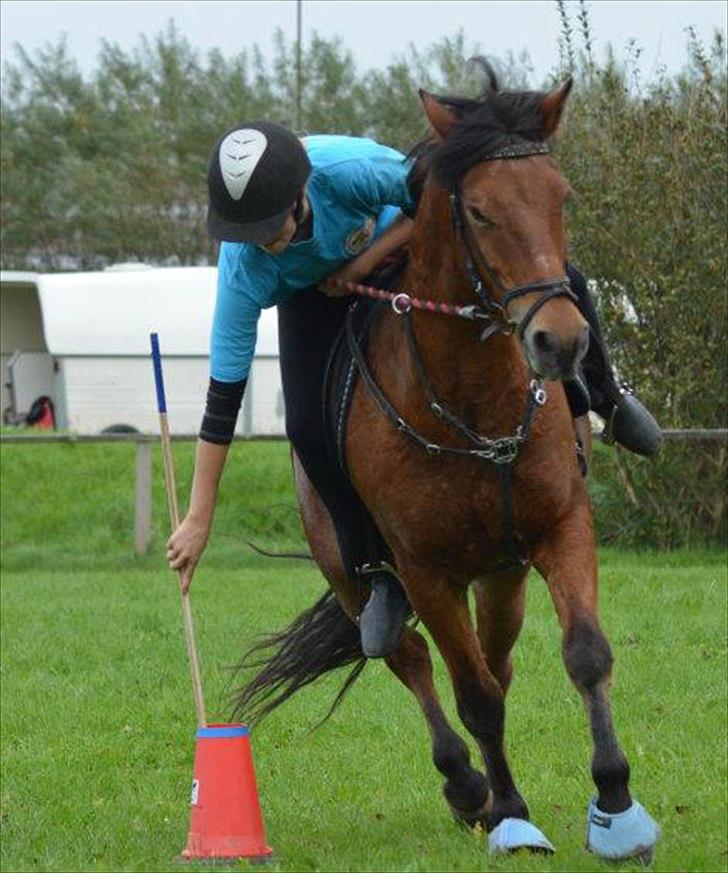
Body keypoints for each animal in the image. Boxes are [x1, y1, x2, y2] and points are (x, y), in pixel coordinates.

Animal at [237, 71, 660, 860]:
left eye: (560, 198)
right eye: (480, 211)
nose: (561, 342)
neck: (473, 402)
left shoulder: (562, 528)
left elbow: (585, 655)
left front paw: (616, 804)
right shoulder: (426, 573)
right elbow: (472, 695)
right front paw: (513, 814)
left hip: (501, 574)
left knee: (498, 658)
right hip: (360, 579)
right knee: (411, 659)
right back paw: (469, 786)